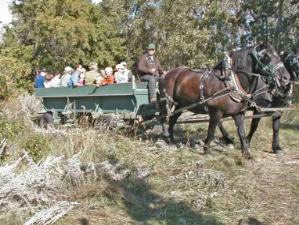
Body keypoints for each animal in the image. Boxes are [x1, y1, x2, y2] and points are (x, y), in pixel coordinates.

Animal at [161, 43, 292, 157]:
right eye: (266, 56)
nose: (286, 78)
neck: (231, 81)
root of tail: (168, 73)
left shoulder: (239, 113)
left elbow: (242, 132)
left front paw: (247, 153)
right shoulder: (216, 112)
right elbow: (211, 131)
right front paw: (207, 150)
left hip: (180, 105)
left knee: (172, 120)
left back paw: (171, 140)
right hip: (167, 102)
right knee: (163, 118)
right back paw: (166, 136)